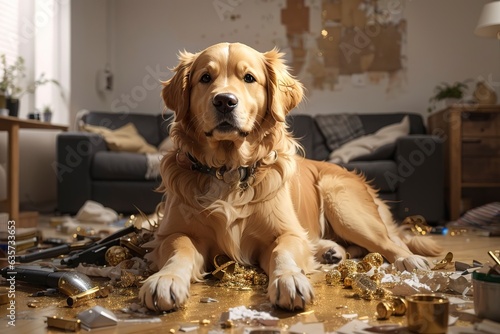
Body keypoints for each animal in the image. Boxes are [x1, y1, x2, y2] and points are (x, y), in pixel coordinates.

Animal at [140, 42, 442, 314]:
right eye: (205, 78)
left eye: (249, 78)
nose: (225, 101)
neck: (228, 169)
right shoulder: (172, 233)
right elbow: (180, 248)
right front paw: (165, 279)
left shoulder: (286, 231)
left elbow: (281, 251)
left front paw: (289, 280)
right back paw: (329, 251)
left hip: (344, 206)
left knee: (390, 242)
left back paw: (409, 261)